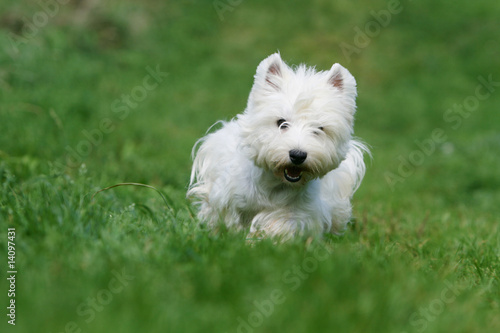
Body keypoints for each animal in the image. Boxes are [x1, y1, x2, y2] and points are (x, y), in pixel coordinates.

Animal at [188, 52, 368, 239]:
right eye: (281, 122)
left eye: (319, 129)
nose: (297, 155)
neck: (275, 184)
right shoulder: (225, 196)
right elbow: (225, 218)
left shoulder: (297, 214)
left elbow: (278, 226)